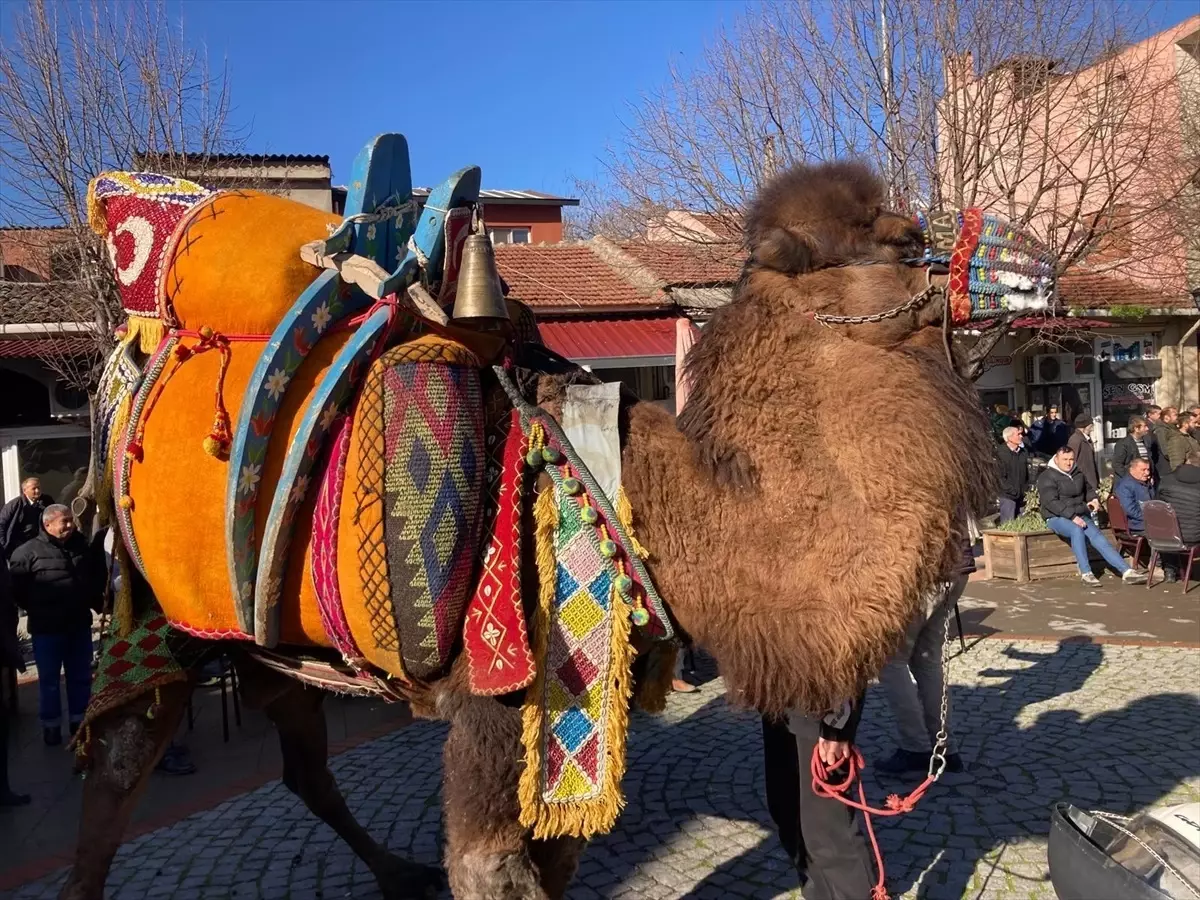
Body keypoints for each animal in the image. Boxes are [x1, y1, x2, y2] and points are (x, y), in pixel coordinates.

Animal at [58, 135, 1051, 900]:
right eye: (906, 241)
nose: (1032, 260)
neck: (631, 493)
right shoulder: (499, 688)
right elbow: (492, 868)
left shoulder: (579, 703)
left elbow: (562, 853)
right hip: (153, 611)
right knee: (116, 770)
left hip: (277, 645)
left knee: (300, 760)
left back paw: (394, 872)